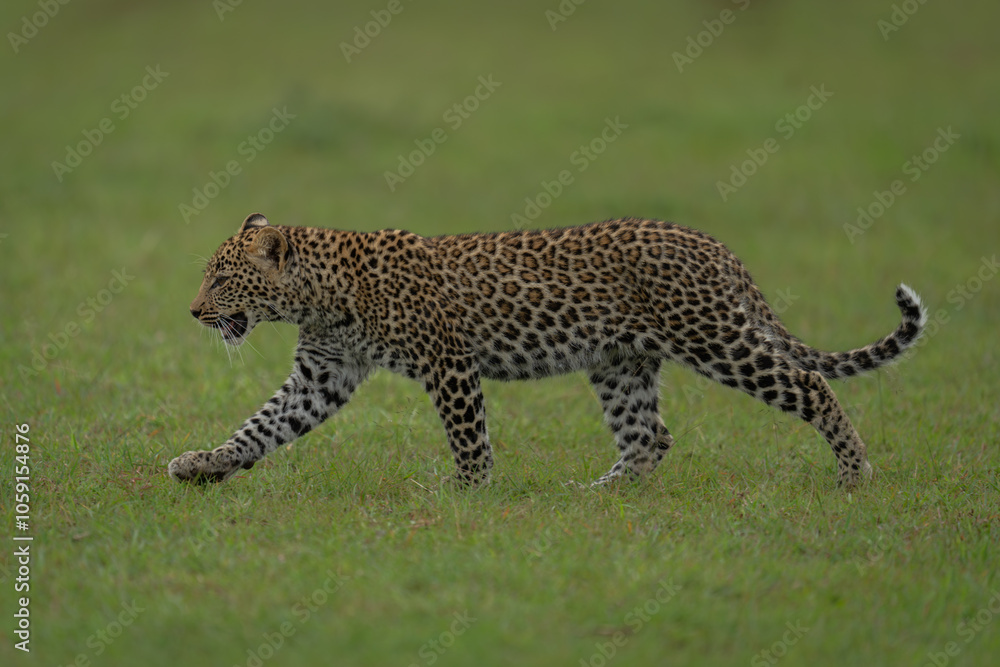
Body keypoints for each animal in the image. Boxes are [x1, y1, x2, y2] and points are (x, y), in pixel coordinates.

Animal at [169, 213, 927, 490]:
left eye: (222, 277)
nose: (194, 311)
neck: (318, 291)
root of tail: (715, 245)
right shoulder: (322, 373)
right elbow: (261, 426)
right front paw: (204, 465)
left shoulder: (448, 361)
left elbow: (467, 435)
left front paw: (468, 493)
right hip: (620, 362)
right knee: (650, 436)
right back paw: (595, 498)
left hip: (715, 338)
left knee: (811, 386)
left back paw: (853, 472)